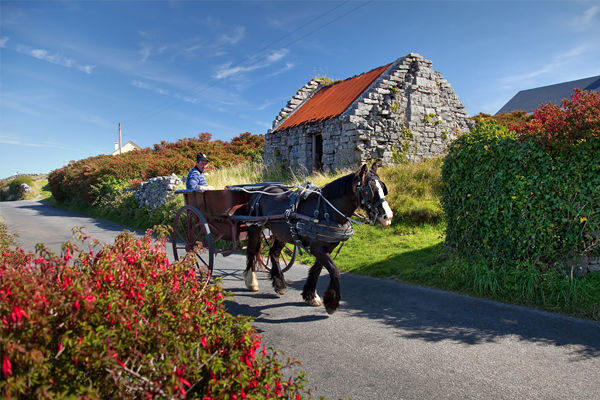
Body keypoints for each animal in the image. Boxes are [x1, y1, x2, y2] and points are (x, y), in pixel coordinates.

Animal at [244, 162, 394, 312]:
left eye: (383, 188)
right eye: (369, 190)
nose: (388, 216)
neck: (327, 211)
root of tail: (262, 189)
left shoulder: (327, 248)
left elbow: (317, 270)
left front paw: (311, 296)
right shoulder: (317, 248)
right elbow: (334, 271)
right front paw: (331, 302)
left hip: (281, 234)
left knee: (274, 253)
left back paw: (279, 283)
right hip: (255, 228)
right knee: (251, 252)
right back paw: (251, 282)